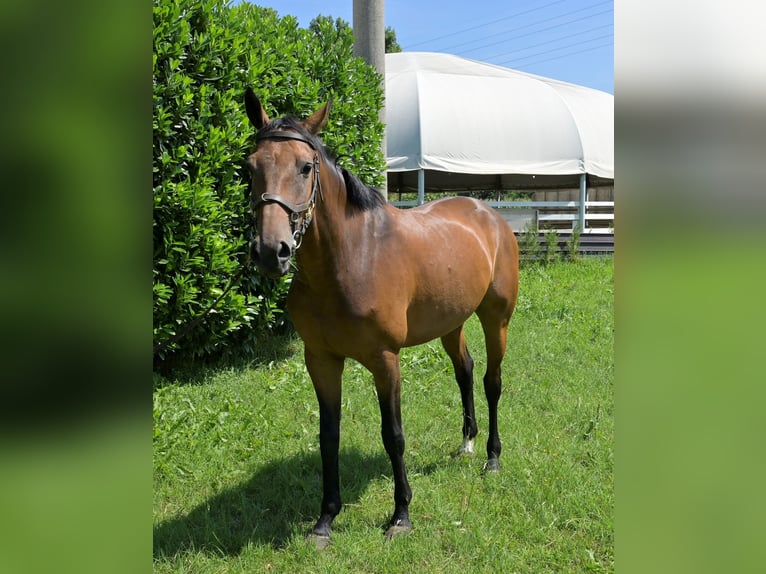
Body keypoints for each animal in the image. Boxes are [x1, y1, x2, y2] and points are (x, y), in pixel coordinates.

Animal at [246, 89, 520, 548]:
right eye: (250, 166)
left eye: (305, 167)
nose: (272, 250)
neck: (351, 258)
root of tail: (490, 215)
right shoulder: (320, 361)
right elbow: (328, 436)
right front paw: (325, 519)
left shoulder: (385, 360)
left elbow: (393, 436)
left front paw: (401, 515)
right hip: (451, 323)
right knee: (465, 371)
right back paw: (466, 442)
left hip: (495, 319)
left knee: (491, 381)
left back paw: (492, 458)